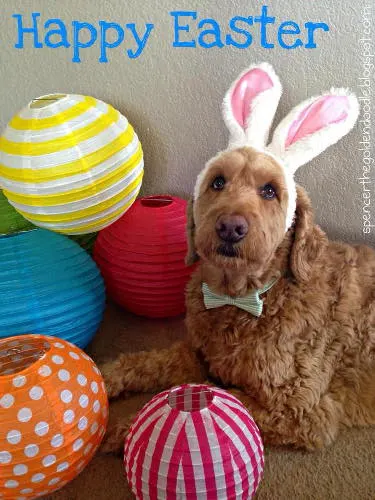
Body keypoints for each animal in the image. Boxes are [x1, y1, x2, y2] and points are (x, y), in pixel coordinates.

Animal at [100, 62, 375, 454]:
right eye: (217, 182)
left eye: (270, 191)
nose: (230, 227)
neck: (244, 298)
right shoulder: (196, 354)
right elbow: (145, 361)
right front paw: (102, 377)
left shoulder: (300, 412)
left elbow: (215, 397)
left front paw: (125, 427)